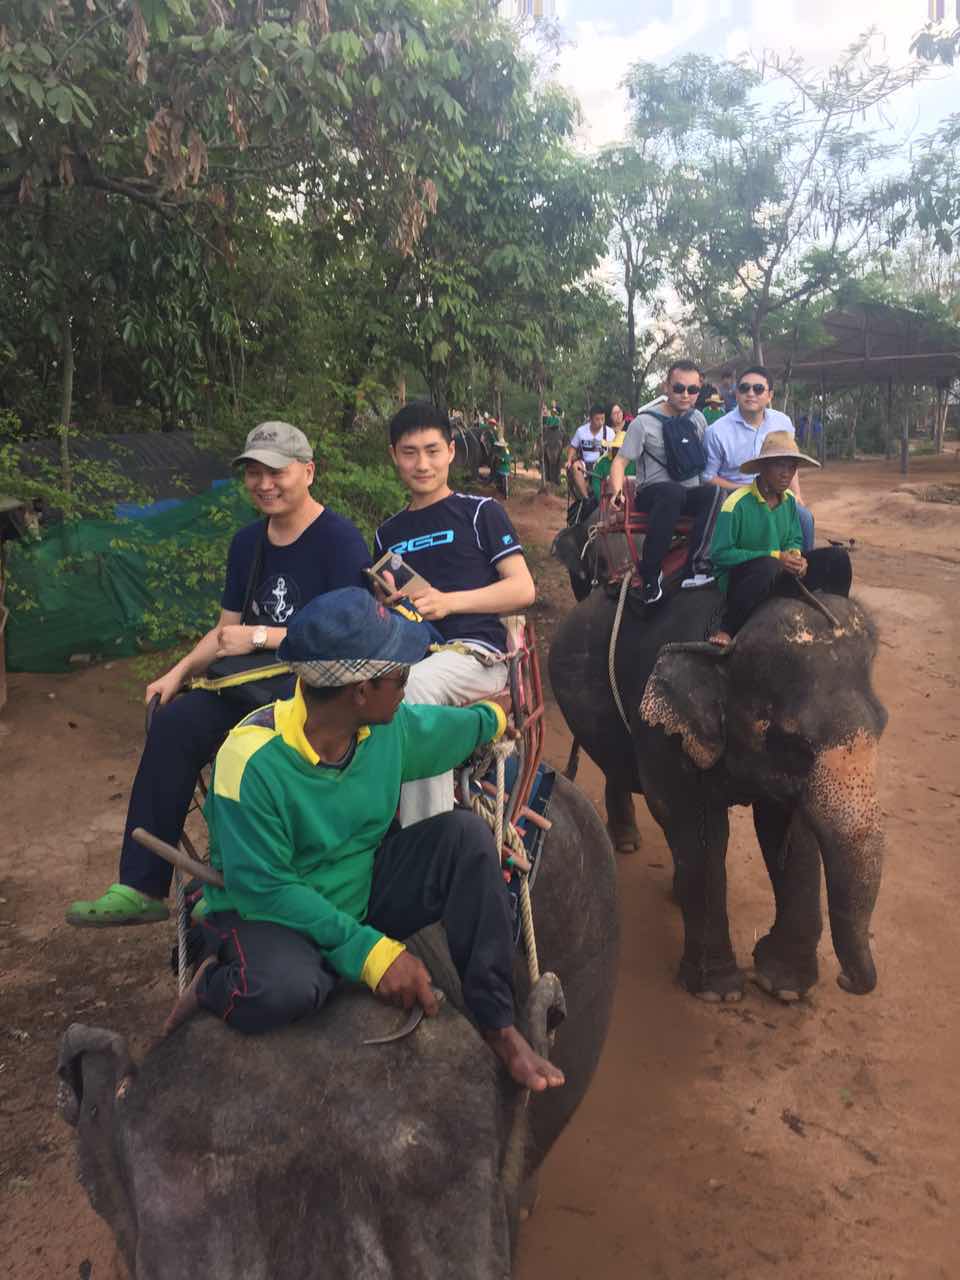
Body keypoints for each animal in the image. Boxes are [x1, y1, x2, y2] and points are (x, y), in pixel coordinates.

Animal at [548, 584, 887, 1004]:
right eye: (795, 746)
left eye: (883, 723)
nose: (845, 980)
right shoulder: (664, 730)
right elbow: (696, 829)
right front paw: (718, 992)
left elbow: (788, 832)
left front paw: (783, 987)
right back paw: (627, 844)